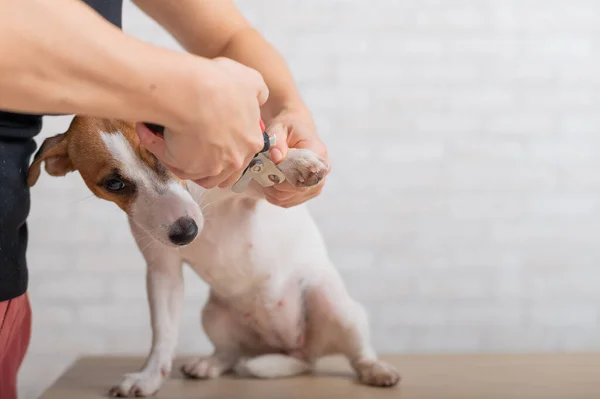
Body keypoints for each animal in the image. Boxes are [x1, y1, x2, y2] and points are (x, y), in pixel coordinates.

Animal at [29, 115, 404, 396]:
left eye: (166, 156)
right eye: (114, 184)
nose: (186, 233)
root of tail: (294, 350)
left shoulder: (251, 190)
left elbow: (264, 165)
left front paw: (296, 161)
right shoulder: (163, 272)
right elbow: (163, 334)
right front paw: (150, 377)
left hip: (337, 307)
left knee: (358, 351)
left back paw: (376, 369)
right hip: (214, 316)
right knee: (230, 353)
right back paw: (210, 363)